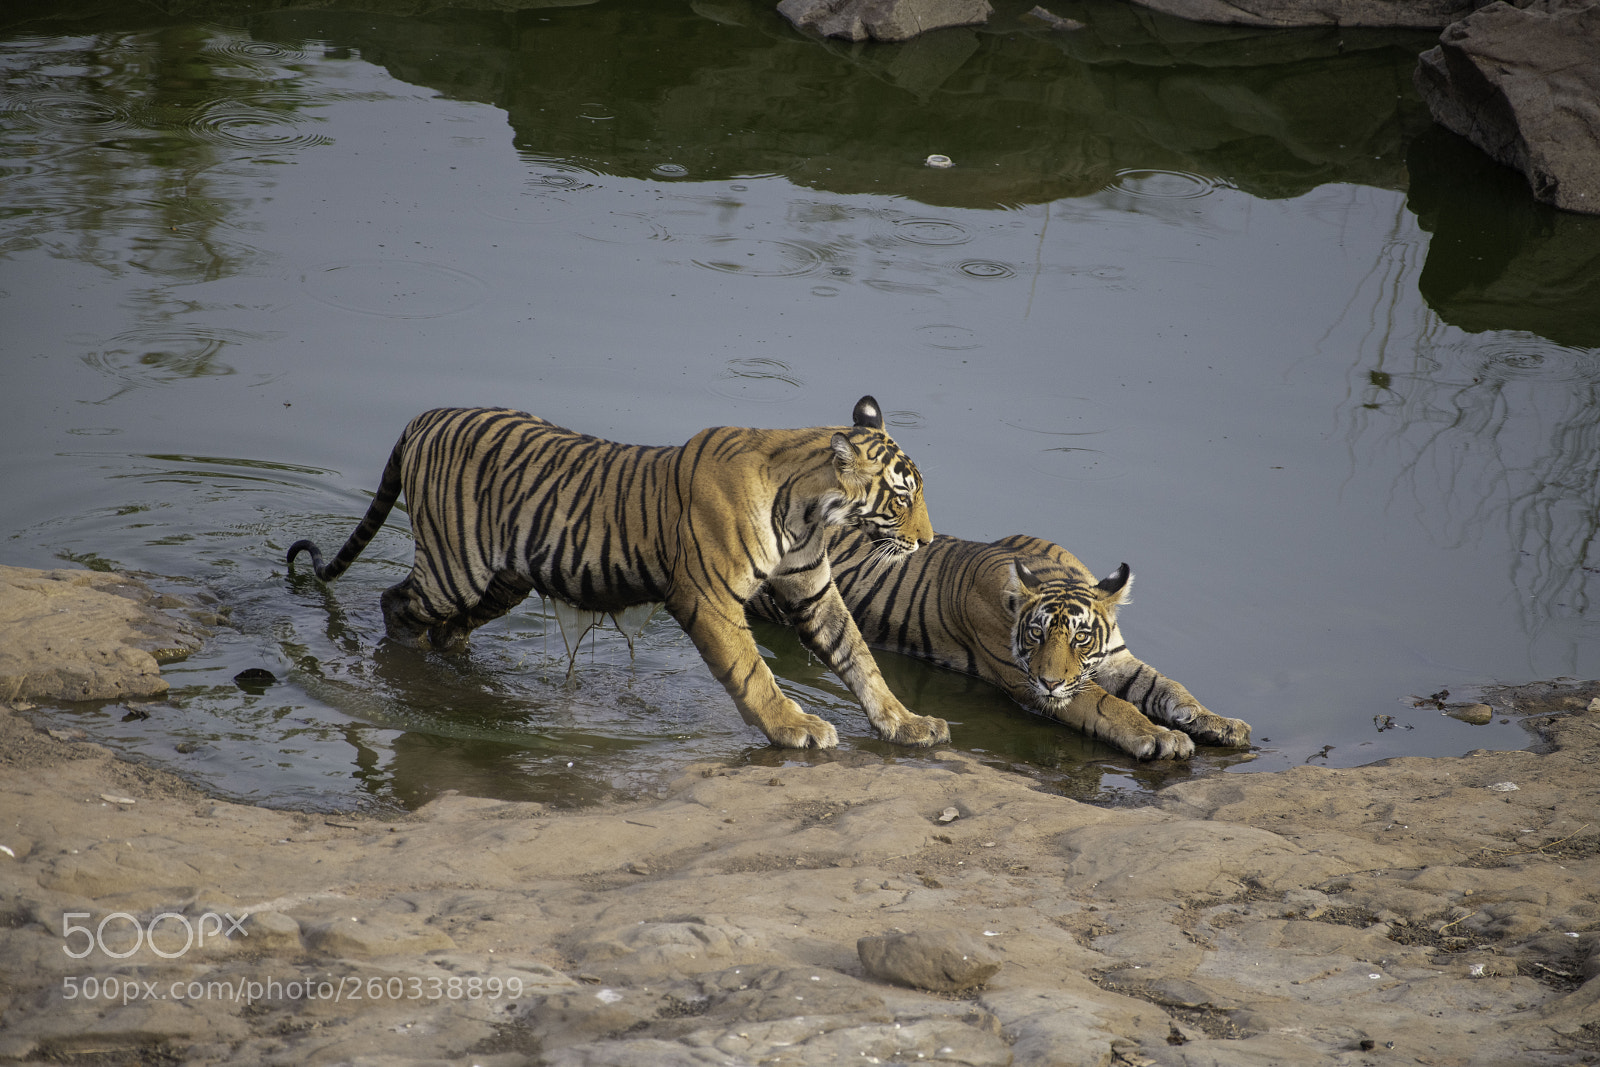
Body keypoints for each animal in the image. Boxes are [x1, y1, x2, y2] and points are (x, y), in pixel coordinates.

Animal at [285, 397, 950, 751]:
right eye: (901, 496)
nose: (925, 542)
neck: (809, 510)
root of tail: (424, 417)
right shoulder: (709, 598)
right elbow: (754, 673)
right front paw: (795, 727)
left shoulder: (812, 588)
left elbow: (859, 658)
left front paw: (907, 723)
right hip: (457, 568)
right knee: (396, 604)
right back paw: (408, 668)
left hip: (504, 580)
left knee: (450, 630)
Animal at [750, 529, 1250, 760]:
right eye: (1036, 634)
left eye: (1081, 638)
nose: (1050, 683)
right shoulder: (1037, 684)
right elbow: (1113, 706)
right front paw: (1161, 737)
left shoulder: (1113, 659)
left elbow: (1167, 687)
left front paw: (1218, 723)